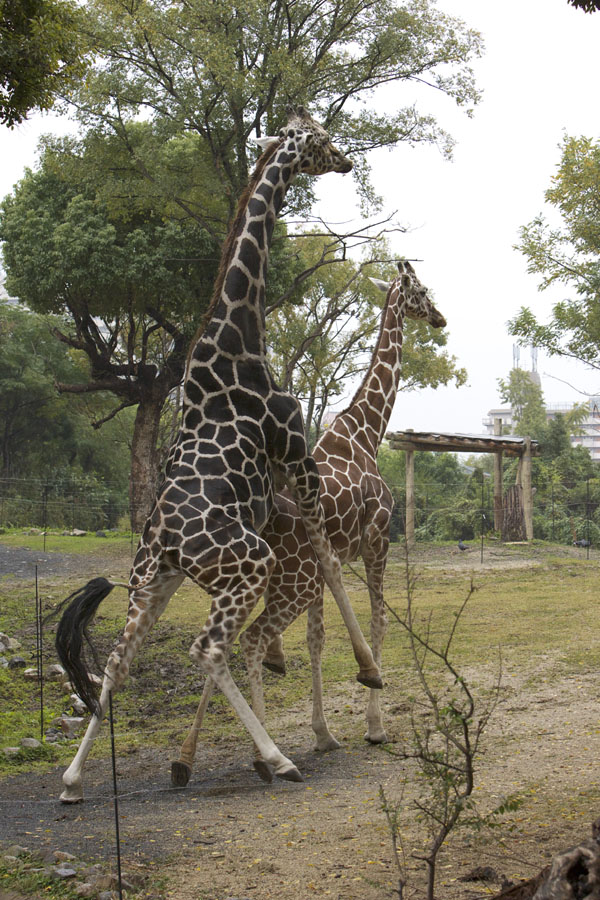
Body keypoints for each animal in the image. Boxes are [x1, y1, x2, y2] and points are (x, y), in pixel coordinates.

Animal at [52, 105, 380, 800]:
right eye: (317, 138)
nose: (343, 159)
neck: (237, 335)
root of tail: (167, 543)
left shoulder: (280, 481)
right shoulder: (294, 450)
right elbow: (328, 561)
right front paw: (368, 671)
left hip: (155, 583)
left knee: (119, 659)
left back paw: (71, 779)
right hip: (243, 564)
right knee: (204, 649)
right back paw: (278, 758)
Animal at [172, 256, 446, 784]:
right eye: (422, 291)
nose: (442, 319)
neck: (367, 430)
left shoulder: (327, 566)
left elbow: (318, 640)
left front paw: (323, 734)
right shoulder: (377, 542)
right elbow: (379, 622)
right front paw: (374, 726)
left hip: (257, 579)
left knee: (225, 643)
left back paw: (186, 758)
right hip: (289, 579)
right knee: (249, 640)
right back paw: (264, 755)